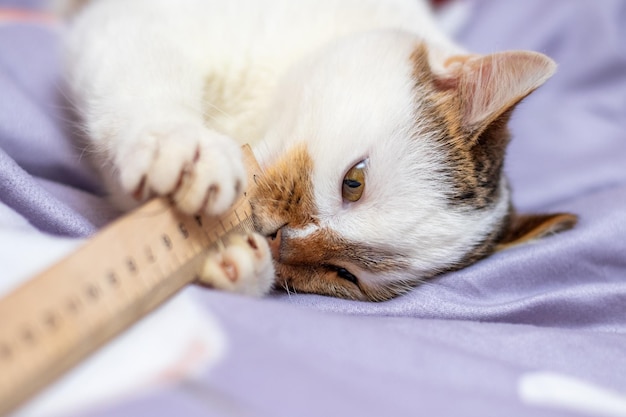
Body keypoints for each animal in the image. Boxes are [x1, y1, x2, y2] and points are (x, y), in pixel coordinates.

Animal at [61, 0, 572, 300]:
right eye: (354, 181)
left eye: (342, 274)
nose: (280, 238)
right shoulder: (138, 21)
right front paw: (182, 143)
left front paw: (242, 264)